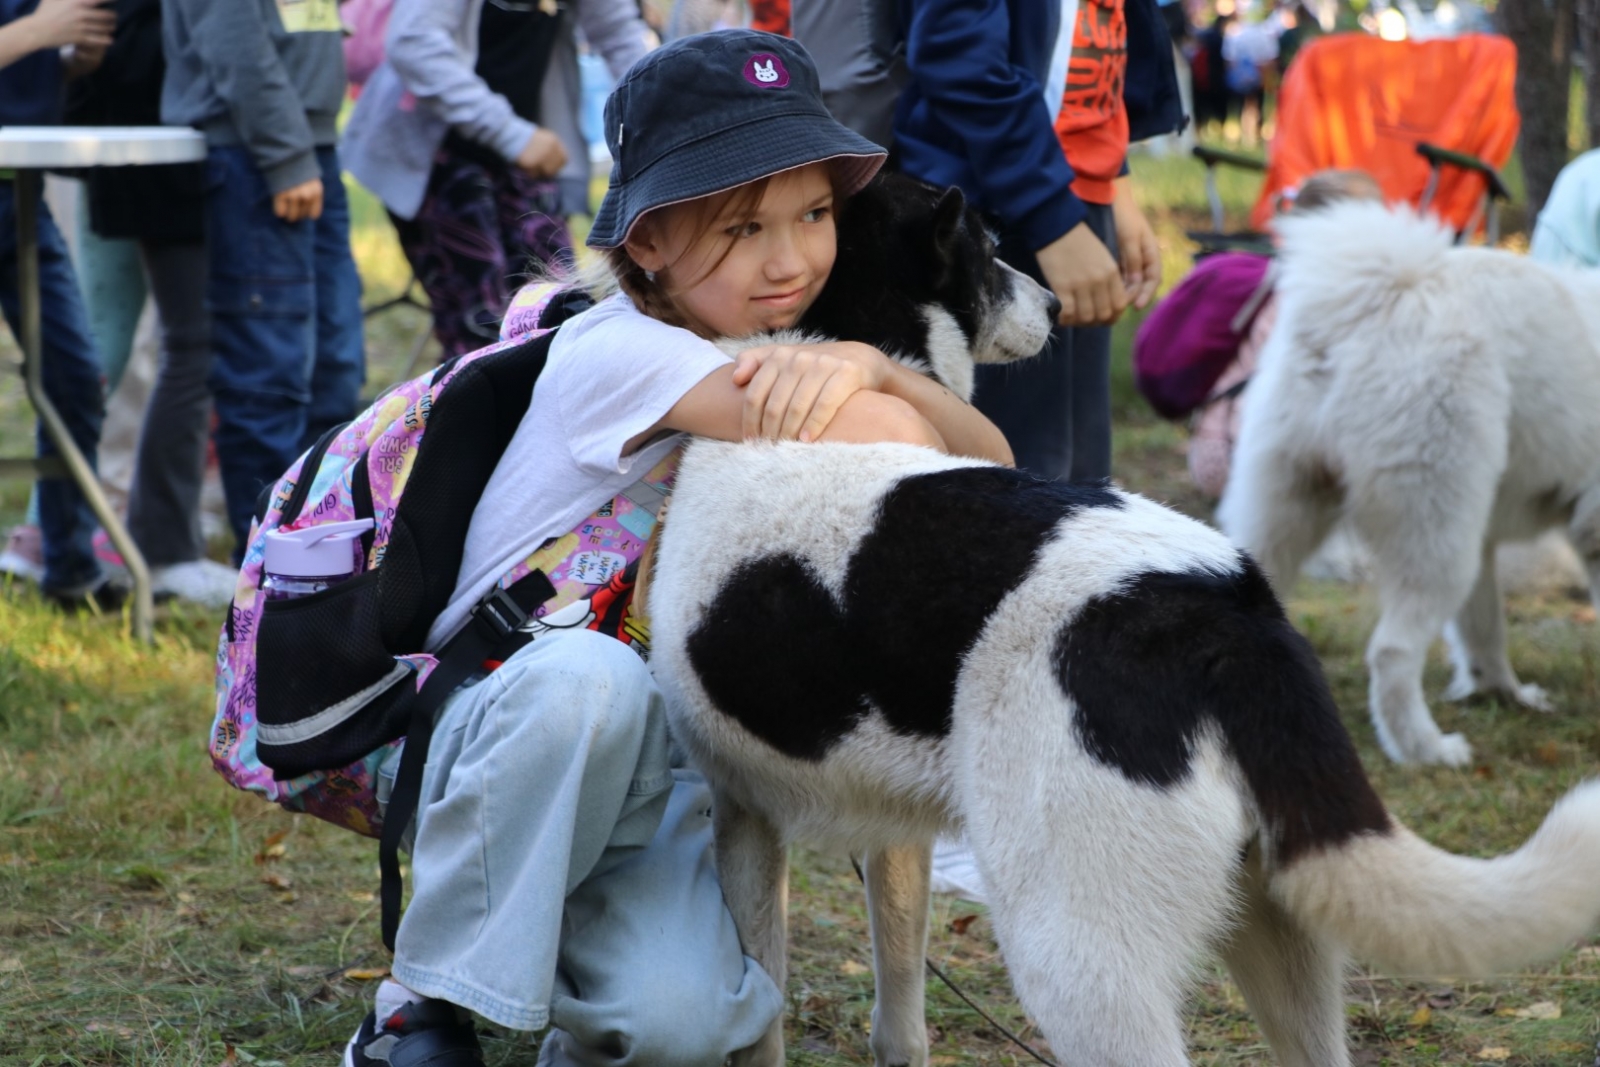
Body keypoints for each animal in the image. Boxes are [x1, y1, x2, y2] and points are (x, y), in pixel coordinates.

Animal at [1216, 202, 1600, 767]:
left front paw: (1502, 694)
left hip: (1296, 511)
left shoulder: (1489, 540)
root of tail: (1383, 296)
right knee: (1391, 653)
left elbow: (1483, 631)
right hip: (1434, 538)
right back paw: (1427, 749)